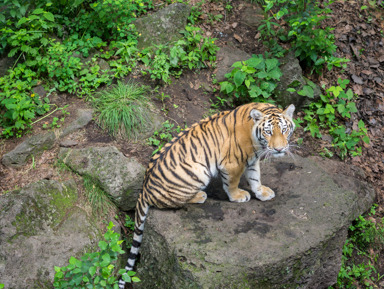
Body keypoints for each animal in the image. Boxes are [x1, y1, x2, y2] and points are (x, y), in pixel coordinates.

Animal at [118, 102, 296, 286]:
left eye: (284, 130)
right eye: (268, 132)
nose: (279, 149)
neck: (256, 140)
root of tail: (144, 189)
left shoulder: (252, 160)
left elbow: (255, 177)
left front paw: (262, 192)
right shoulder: (232, 163)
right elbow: (232, 183)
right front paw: (238, 196)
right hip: (199, 171)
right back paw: (200, 196)